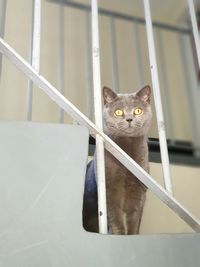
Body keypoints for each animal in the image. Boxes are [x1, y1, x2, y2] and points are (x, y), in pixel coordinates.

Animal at [83, 85, 152, 234]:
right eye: (118, 112)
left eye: (138, 110)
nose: (129, 119)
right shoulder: (110, 188)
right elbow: (116, 218)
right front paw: (118, 234)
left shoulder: (139, 190)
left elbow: (134, 219)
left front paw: (132, 235)